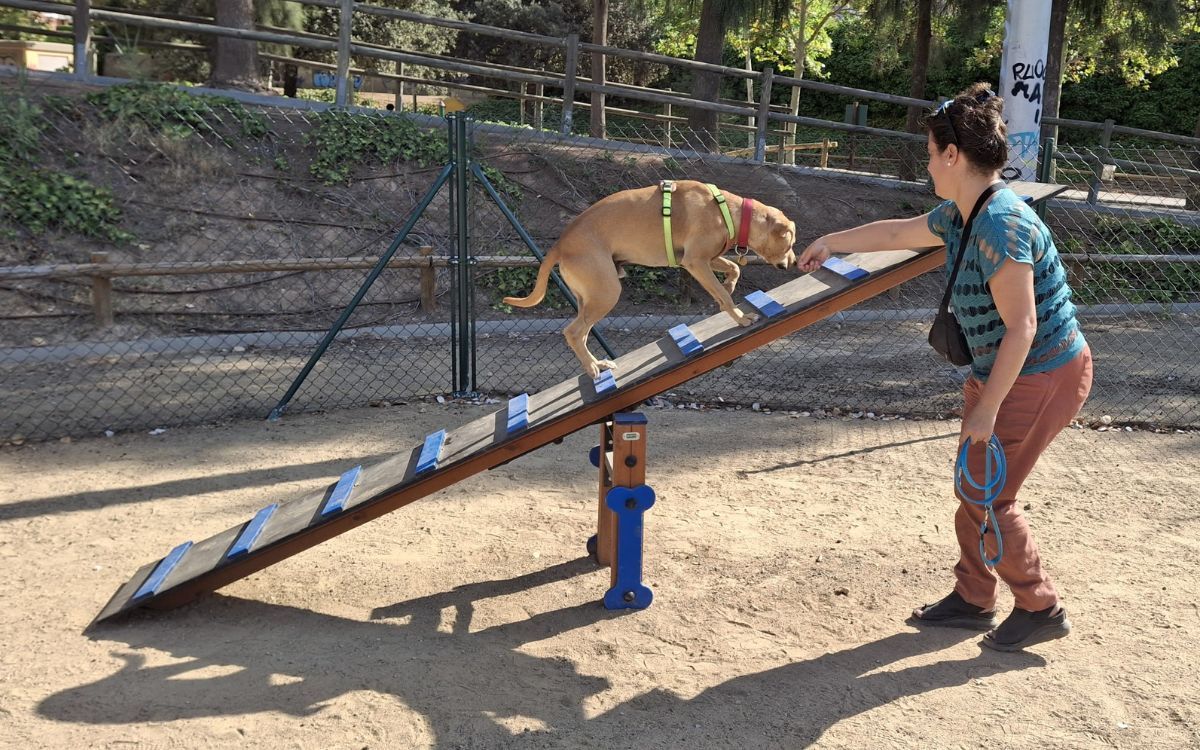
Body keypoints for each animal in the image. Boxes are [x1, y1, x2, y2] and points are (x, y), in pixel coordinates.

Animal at [504, 178, 796, 376]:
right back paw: (592, 367)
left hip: (589, 298)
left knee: (583, 333)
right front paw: (741, 317)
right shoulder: (696, 262)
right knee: (573, 332)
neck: (726, 211)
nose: (793, 262)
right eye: (791, 242)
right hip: (606, 292)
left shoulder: (706, 259)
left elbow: (735, 269)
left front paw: (730, 283)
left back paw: (597, 363)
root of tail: (560, 244)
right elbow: (723, 296)